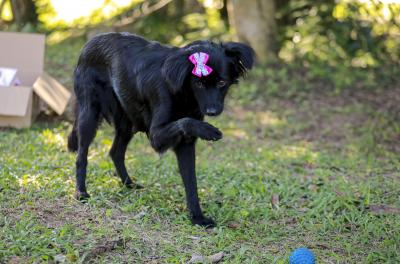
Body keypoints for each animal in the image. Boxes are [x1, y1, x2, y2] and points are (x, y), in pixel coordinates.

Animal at [68, 32, 253, 227]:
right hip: (89, 115)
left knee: (115, 152)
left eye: (222, 82)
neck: (184, 91)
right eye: (199, 84)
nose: (212, 111)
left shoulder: (185, 143)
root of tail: (92, 40)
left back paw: (129, 184)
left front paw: (197, 217)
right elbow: (185, 121)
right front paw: (208, 130)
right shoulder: (156, 136)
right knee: (81, 156)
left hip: (128, 120)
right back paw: (81, 192)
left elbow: (191, 182)